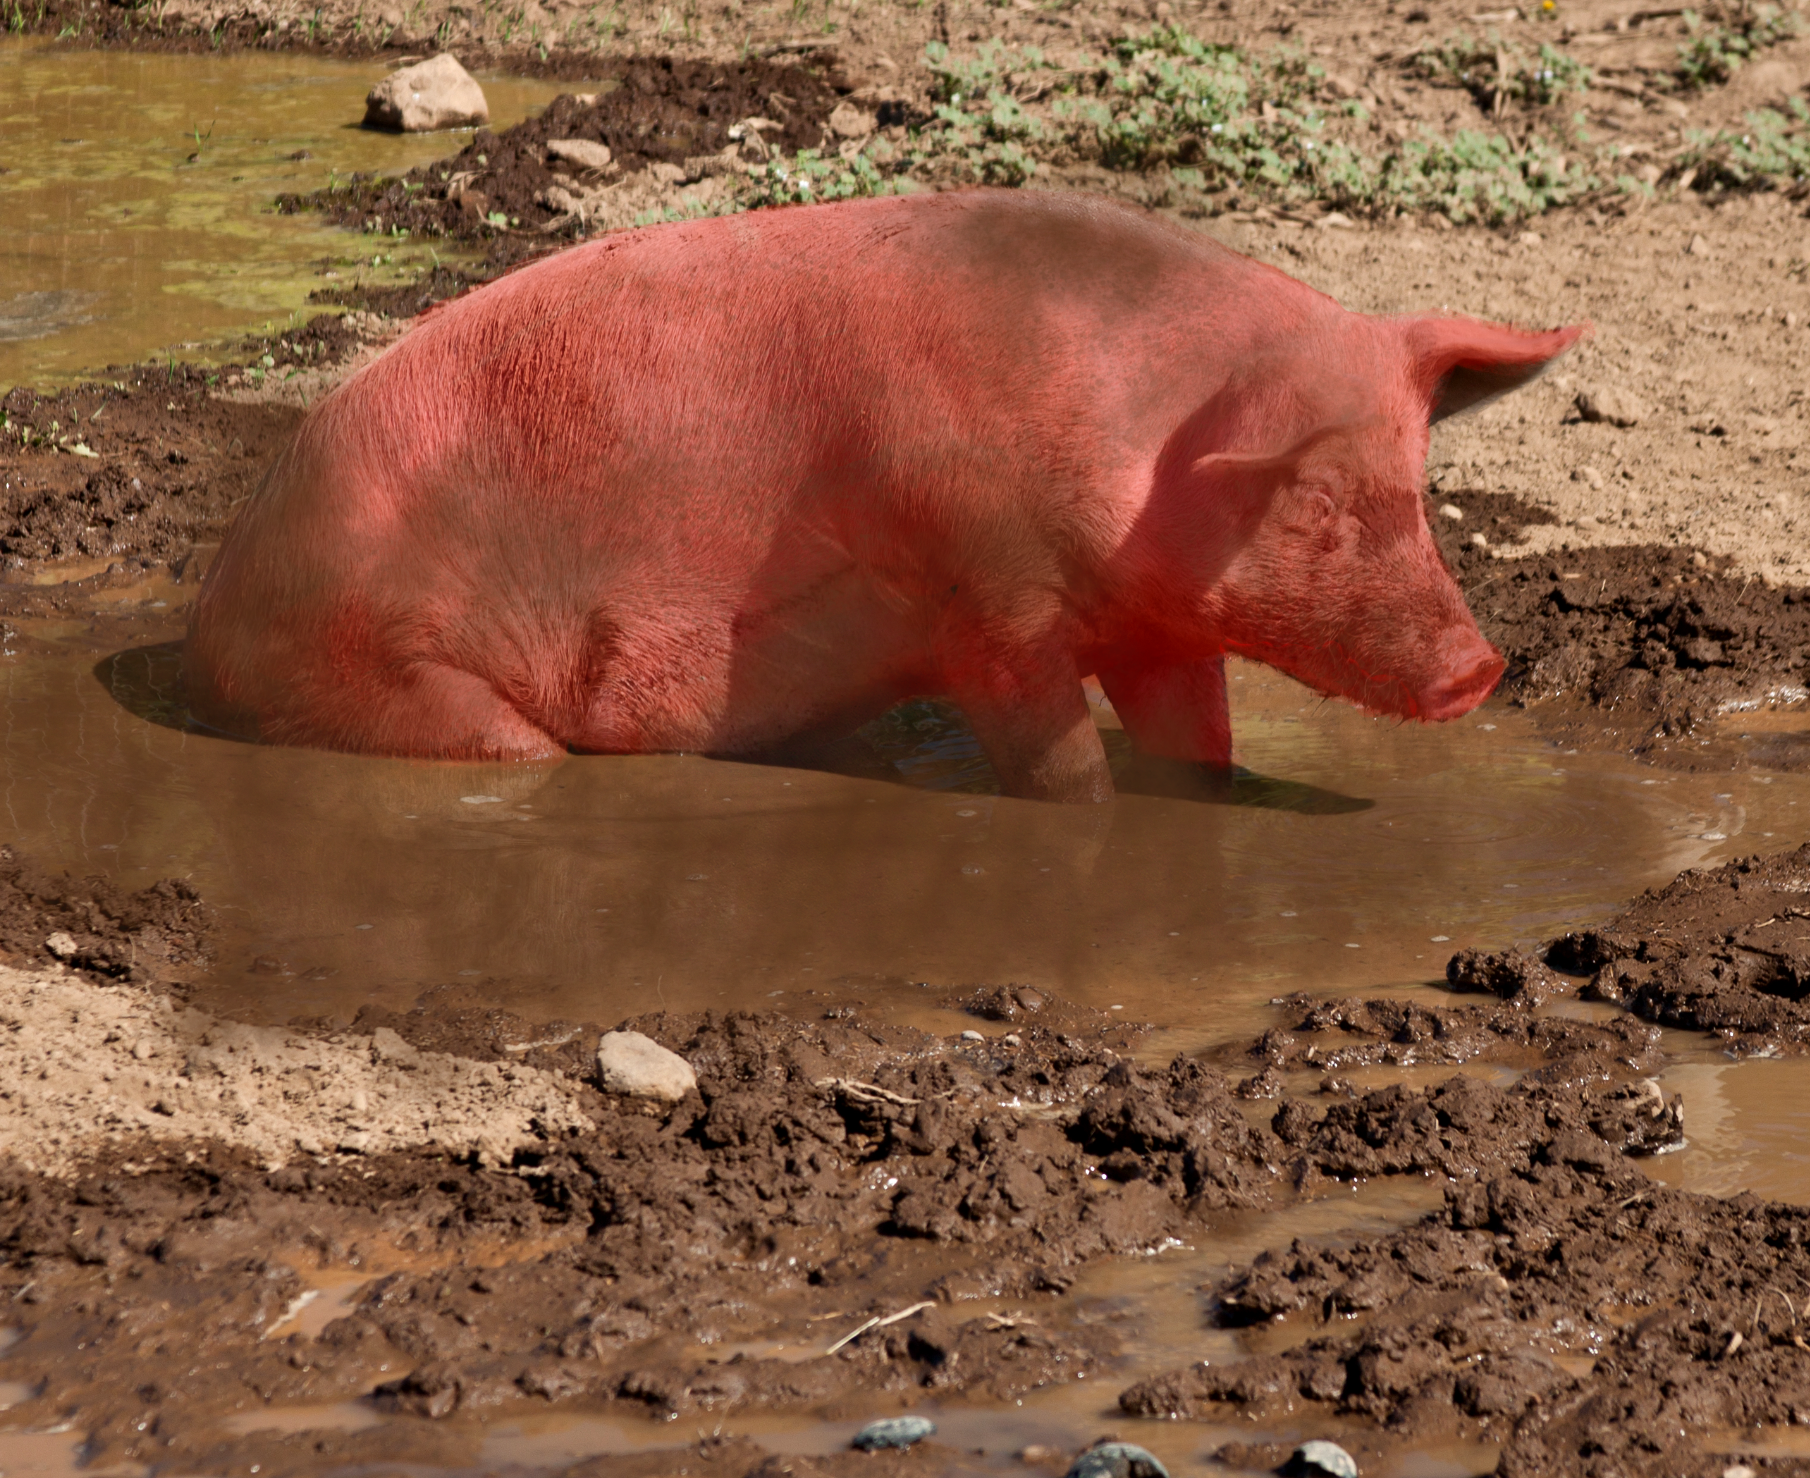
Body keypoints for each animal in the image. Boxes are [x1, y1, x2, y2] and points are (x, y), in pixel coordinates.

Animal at [185, 189, 1581, 802]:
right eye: (1315, 503)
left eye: (1417, 487)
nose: (1478, 669)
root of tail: (212, 602)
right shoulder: (980, 586)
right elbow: (1059, 758)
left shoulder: (1155, 628)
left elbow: (1201, 748)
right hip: (385, 664)